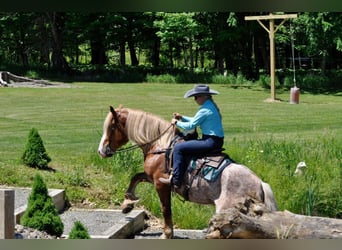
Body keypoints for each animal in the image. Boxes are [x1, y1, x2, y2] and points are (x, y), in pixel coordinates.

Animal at [98, 105, 278, 238]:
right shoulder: (151, 177)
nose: (101, 151)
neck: (161, 146)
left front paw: (167, 234)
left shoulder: (161, 184)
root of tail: (260, 183)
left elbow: (166, 208)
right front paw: (127, 204)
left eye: (112, 126)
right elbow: (135, 177)